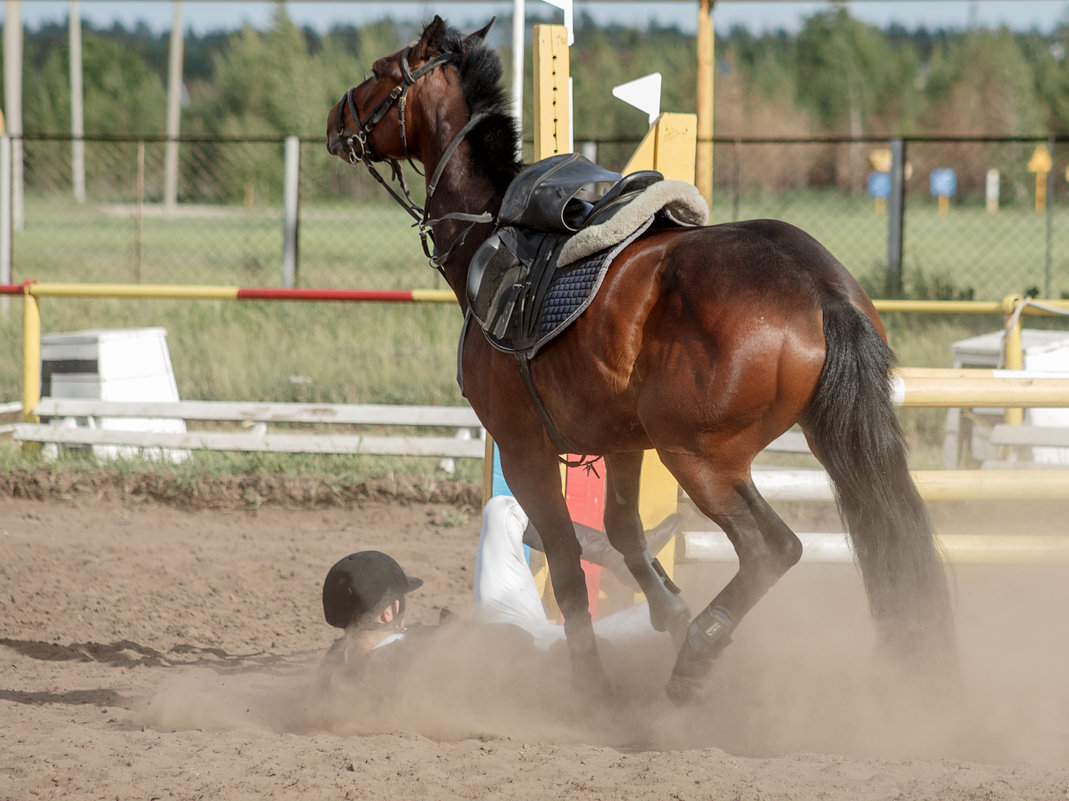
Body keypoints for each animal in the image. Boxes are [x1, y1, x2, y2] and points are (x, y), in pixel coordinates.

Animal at [322, 14, 953, 701]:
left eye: (380, 71)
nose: (334, 118)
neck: (487, 229)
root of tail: (818, 287)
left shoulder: (522, 449)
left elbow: (567, 564)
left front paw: (590, 679)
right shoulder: (621, 441)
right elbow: (623, 533)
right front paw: (666, 610)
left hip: (700, 458)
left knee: (773, 548)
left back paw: (698, 653)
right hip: (796, 441)